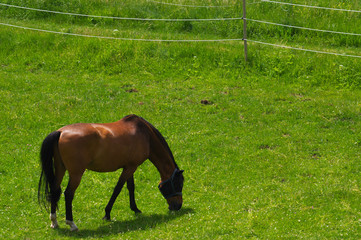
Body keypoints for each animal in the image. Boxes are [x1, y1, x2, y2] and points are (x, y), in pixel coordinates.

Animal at [37, 115, 183, 232]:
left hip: (60, 169)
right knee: (68, 194)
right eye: (178, 183)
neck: (145, 134)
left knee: (54, 190)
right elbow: (118, 189)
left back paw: (54, 221)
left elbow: (130, 187)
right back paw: (71, 224)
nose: (177, 206)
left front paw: (135, 209)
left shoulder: (130, 166)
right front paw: (107, 214)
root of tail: (60, 132)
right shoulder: (130, 168)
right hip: (76, 174)